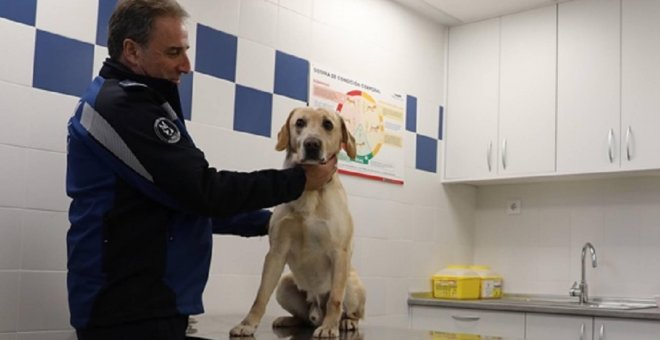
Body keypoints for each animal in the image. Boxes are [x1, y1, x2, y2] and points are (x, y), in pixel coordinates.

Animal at [229, 107, 366, 338]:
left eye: (328, 124)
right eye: (300, 122)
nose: (311, 144)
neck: (309, 191)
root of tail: (317, 310)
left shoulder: (340, 252)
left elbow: (335, 299)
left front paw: (329, 327)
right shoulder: (276, 252)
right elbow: (261, 295)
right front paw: (248, 323)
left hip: (351, 282)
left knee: (346, 309)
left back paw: (345, 322)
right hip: (285, 284)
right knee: (304, 319)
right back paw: (288, 319)